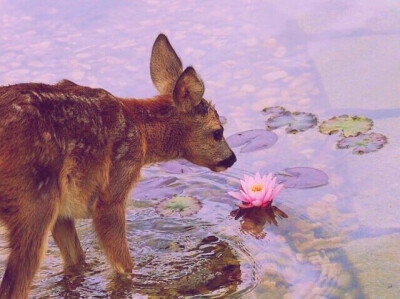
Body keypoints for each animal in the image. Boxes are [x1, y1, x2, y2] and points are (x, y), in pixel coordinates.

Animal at [0, 34, 236, 298]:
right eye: (218, 132)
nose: (231, 158)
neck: (142, 133)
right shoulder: (113, 189)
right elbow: (124, 266)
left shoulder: (63, 212)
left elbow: (77, 260)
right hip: (33, 204)